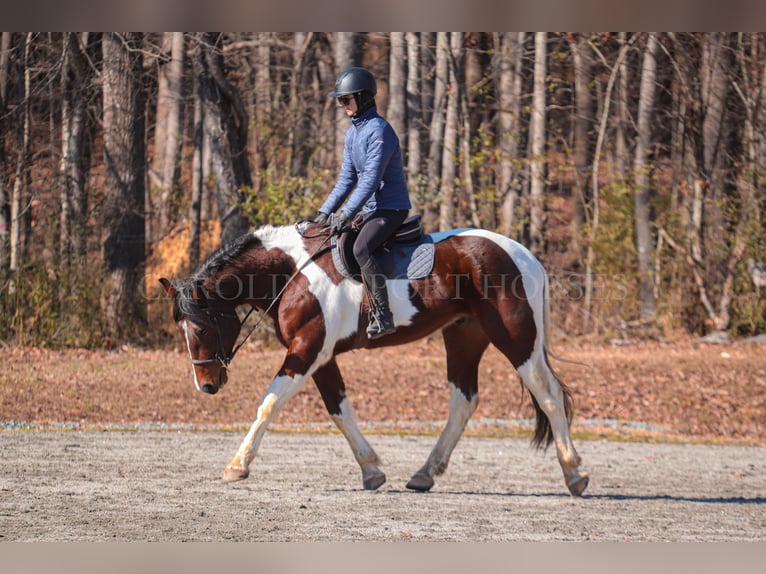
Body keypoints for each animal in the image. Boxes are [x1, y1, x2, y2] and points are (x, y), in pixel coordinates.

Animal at [160, 223, 592, 498]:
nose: (207, 385)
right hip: (464, 337)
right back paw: (424, 474)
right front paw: (371, 469)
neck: (292, 273)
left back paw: (575, 473)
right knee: (464, 400)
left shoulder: (306, 350)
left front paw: (237, 465)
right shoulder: (321, 356)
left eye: (201, 330)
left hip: (517, 339)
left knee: (549, 396)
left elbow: (269, 403)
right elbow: (339, 410)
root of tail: (523, 253)